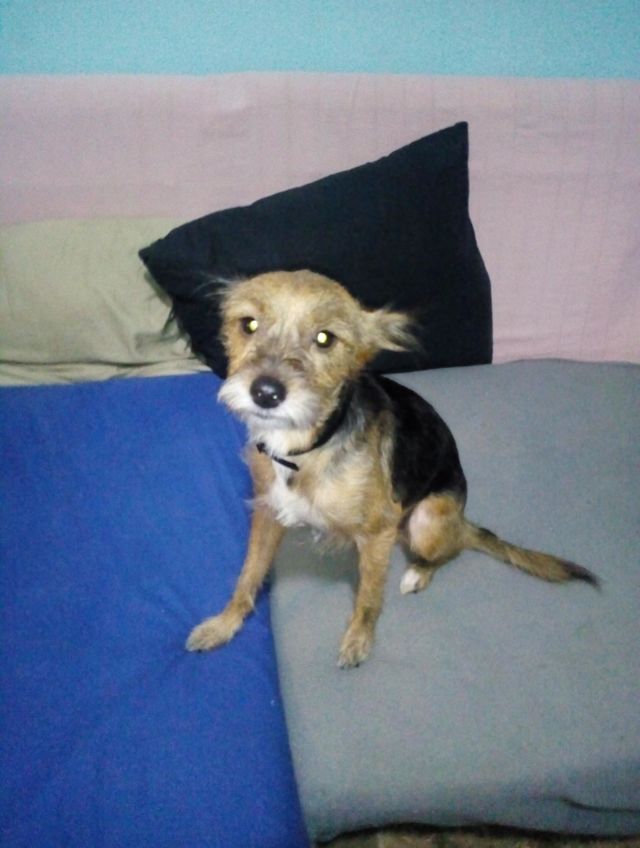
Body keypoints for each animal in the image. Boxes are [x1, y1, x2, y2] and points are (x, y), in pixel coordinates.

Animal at [186, 269, 597, 667]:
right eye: (249, 324)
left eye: (325, 338)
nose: (266, 392)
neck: (303, 449)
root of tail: (463, 518)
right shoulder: (267, 513)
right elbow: (248, 575)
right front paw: (223, 625)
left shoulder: (379, 530)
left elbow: (369, 597)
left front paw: (358, 641)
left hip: (426, 522)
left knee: (452, 549)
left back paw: (417, 573)